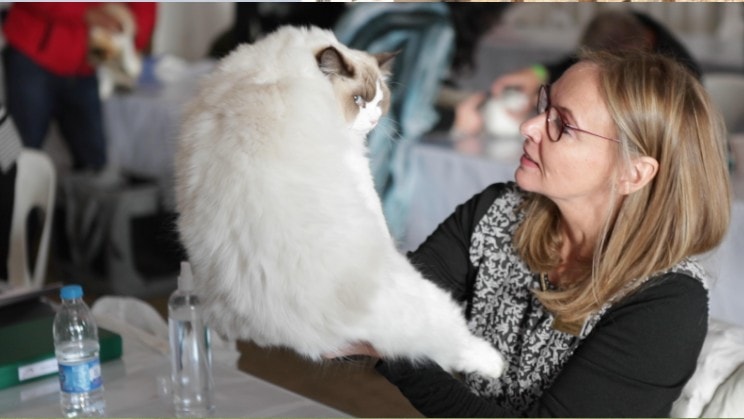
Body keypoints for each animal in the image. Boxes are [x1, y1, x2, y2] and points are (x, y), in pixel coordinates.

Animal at [173, 26, 506, 380]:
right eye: (358, 100)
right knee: (450, 343)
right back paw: (494, 363)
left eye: (379, 101)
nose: (373, 120)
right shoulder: (358, 169)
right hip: (425, 304)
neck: (278, 69)